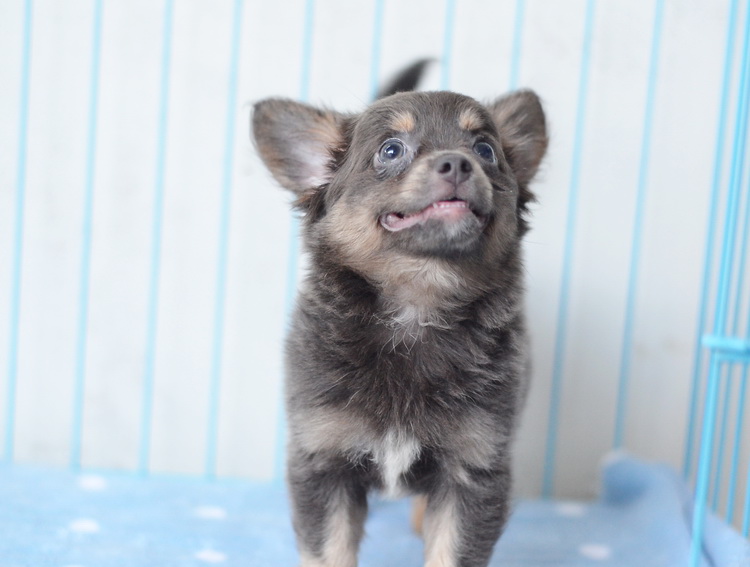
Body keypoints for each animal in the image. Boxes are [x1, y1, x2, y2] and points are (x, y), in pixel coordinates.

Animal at [252, 63, 547, 567]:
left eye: (485, 150)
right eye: (391, 150)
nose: (457, 163)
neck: (417, 307)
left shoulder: (474, 466)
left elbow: (448, 551)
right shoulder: (323, 460)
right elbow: (330, 552)